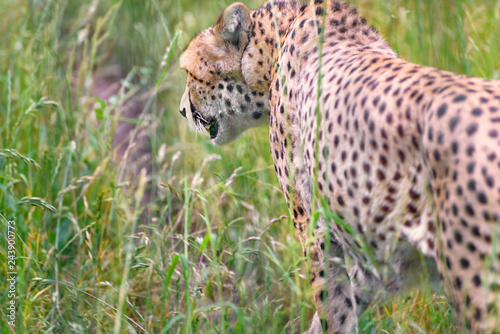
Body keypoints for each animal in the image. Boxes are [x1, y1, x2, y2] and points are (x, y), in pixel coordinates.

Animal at [179, 1, 500, 332]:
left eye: (189, 73)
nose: (182, 111)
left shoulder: (313, 224)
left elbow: (333, 303)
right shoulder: (372, 249)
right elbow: (348, 298)